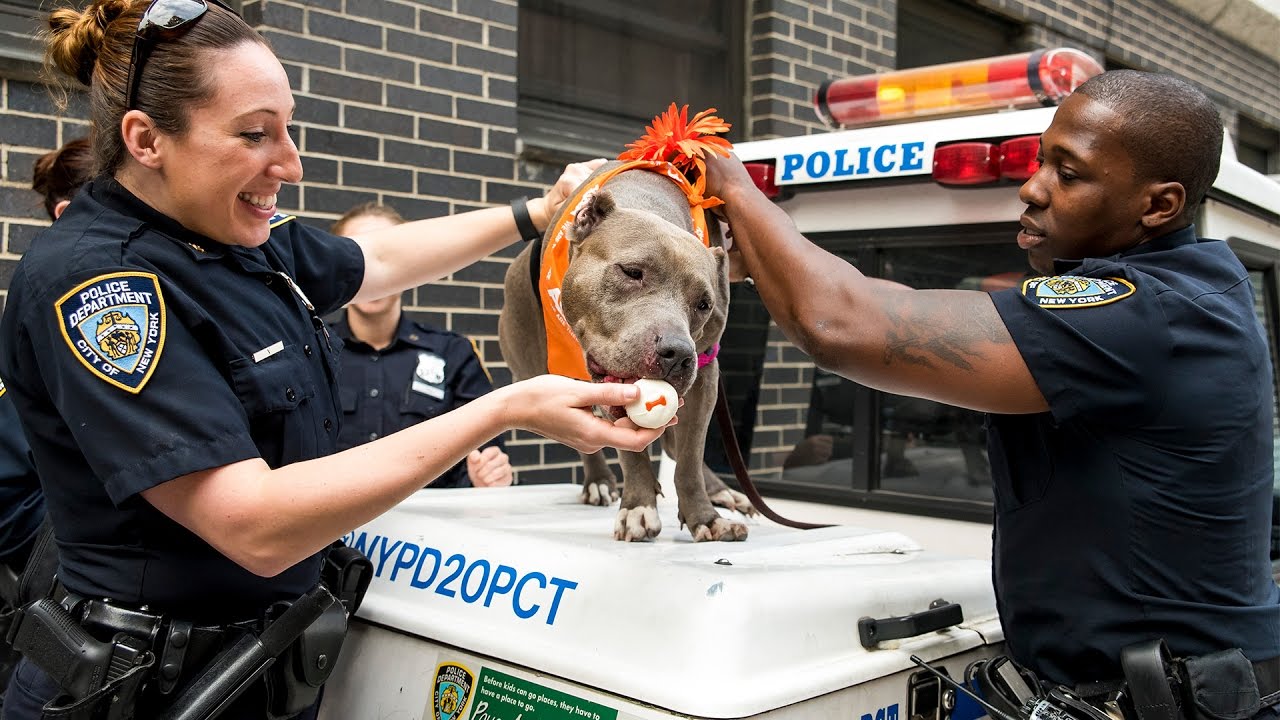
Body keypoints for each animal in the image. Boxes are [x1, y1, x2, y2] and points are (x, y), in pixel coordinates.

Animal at [496, 161, 757, 538]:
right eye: (632, 272)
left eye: (704, 304)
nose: (678, 354)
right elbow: (630, 449)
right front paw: (638, 507)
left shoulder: (706, 374)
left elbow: (690, 455)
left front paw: (705, 518)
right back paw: (599, 481)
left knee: (677, 446)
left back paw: (721, 492)